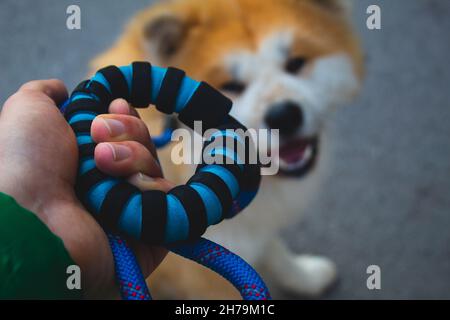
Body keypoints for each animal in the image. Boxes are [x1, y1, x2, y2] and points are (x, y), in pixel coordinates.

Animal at [90, 0, 362, 298]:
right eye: (231, 86)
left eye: (295, 63)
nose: (283, 116)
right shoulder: (208, 281)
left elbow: (274, 251)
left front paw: (305, 276)